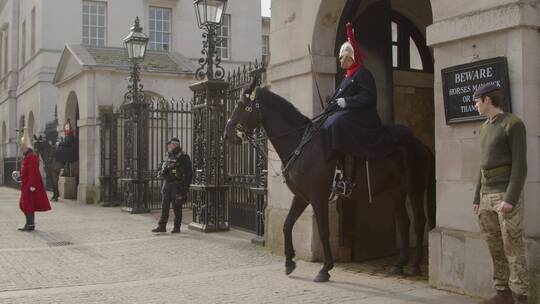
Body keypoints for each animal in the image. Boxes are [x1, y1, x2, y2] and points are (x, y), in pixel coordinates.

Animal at [224, 81, 434, 282]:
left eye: (242, 105)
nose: (227, 134)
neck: (301, 144)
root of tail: (420, 144)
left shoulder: (318, 197)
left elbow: (324, 231)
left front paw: (325, 269)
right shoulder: (301, 197)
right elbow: (287, 224)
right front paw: (289, 262)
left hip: (415, 189)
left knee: (419, 222)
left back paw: (415, 265)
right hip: (396, 191)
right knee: (404, 222)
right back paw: (399, 264)